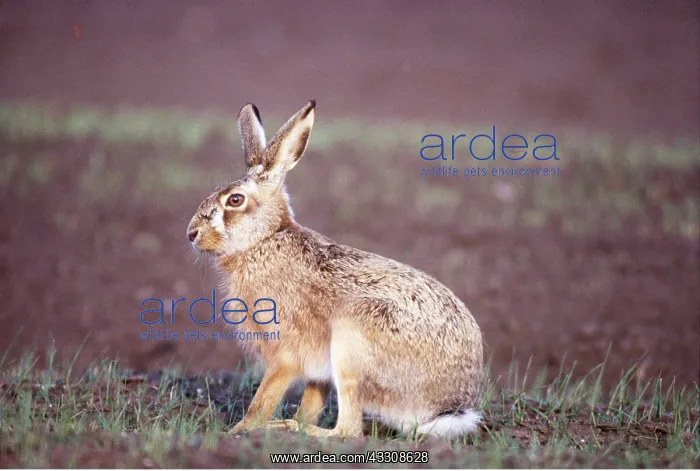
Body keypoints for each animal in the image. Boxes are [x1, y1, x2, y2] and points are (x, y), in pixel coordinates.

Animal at [186, 101, 484, 439]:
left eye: (235, 200)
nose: (191, 234)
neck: (264, 240)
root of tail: (445, 408)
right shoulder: (318, 372)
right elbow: (310, 403)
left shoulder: (283, 354)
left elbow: (262, 400)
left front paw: (239, 431)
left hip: (354, 337)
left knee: (348, 431)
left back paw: (288, 429)